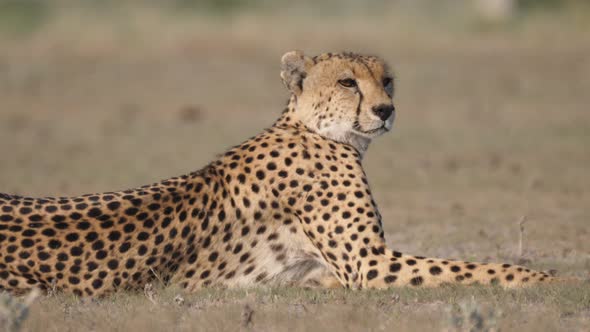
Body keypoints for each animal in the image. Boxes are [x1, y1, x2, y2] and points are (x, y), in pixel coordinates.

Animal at [0, 50, 568, 296]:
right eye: (348, 82)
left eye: (386, 80)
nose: (386, 110)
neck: (318, 129)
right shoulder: (369, 264)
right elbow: (477, 269)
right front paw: (544, 278)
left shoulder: (340, 266)